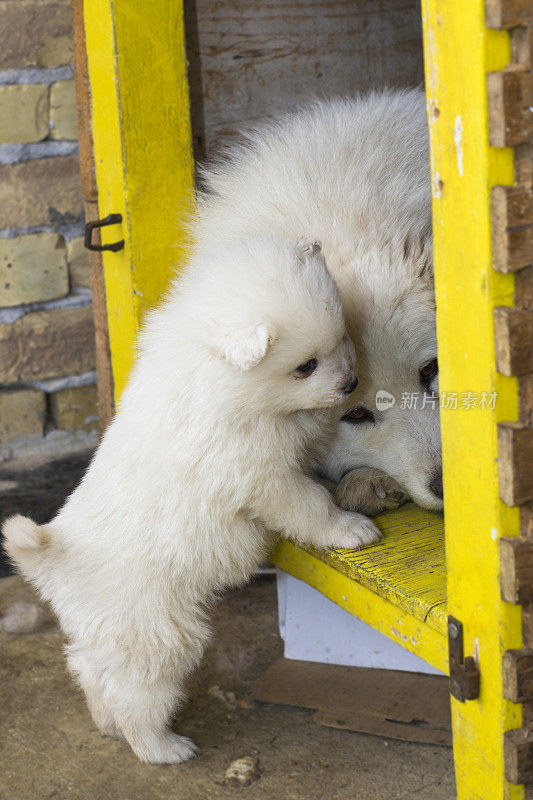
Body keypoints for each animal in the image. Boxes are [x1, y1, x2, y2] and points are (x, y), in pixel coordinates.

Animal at [3, 234, 378, 764]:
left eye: (342, 337)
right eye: (305, 366)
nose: (350, 383)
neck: (225, 383)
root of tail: (57, 558)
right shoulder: (260, 475)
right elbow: (307, 504)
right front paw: (348, 528)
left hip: (111, 635)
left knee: (91, 670)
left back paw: (106, 725)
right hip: (158, 632)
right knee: (134, 693)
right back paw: (161, 747)